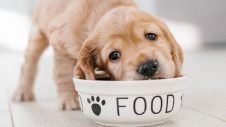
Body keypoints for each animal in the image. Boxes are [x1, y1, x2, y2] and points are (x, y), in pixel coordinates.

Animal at [12, 0, 184, 110]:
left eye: (151, 36)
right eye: (114, 55)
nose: (147, 67)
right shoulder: (60, 43)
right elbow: (63, 73)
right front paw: (68, 99)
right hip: (38, 33)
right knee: (28, 64)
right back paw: (23, 92)